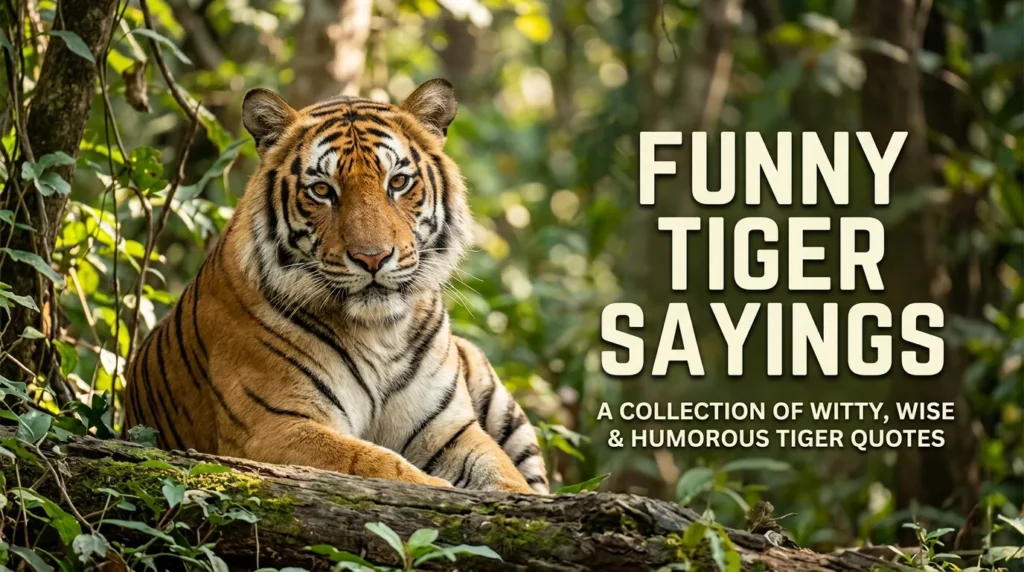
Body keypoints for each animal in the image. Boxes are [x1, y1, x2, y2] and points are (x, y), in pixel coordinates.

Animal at [123, 79, 549, 494]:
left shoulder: (448, 429)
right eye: (322, 190)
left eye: (398, 182)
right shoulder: (275, 426)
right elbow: (378, 463)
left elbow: (504, 473)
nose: (373, 258)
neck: (381, 332)